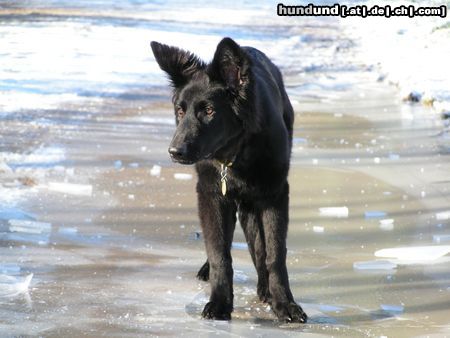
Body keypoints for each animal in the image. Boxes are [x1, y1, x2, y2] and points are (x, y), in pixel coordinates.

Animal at [150, 36, 306, 322]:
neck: (237, 154)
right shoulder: (212, 194)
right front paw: (220, 302)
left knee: (258, 245)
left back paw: (264, 287)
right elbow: (219, 253)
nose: (174, 152)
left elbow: (274, 254)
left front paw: (284, 303)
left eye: (209, 110)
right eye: (180, 110)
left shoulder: (274, 194)